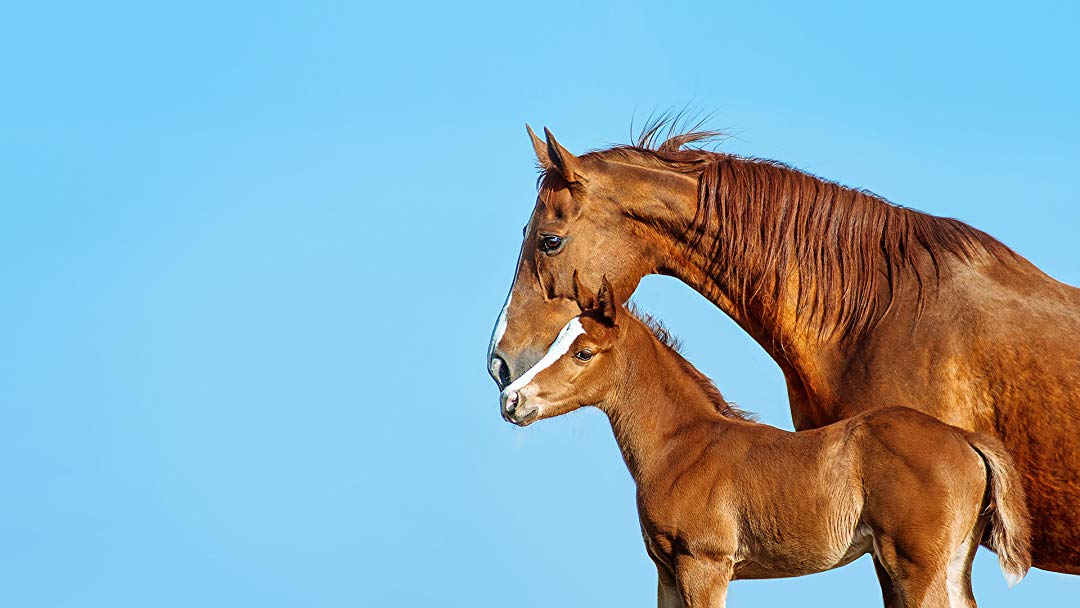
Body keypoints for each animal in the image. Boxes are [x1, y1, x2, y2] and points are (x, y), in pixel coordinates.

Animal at [500, 276, 1031, 608]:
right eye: (557, 340)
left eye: (583, 352)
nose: (511, 399)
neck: (681, 444)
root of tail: (964, 438)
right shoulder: (666, 572)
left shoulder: (704, 566)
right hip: (953, 563)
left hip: (916, 565)